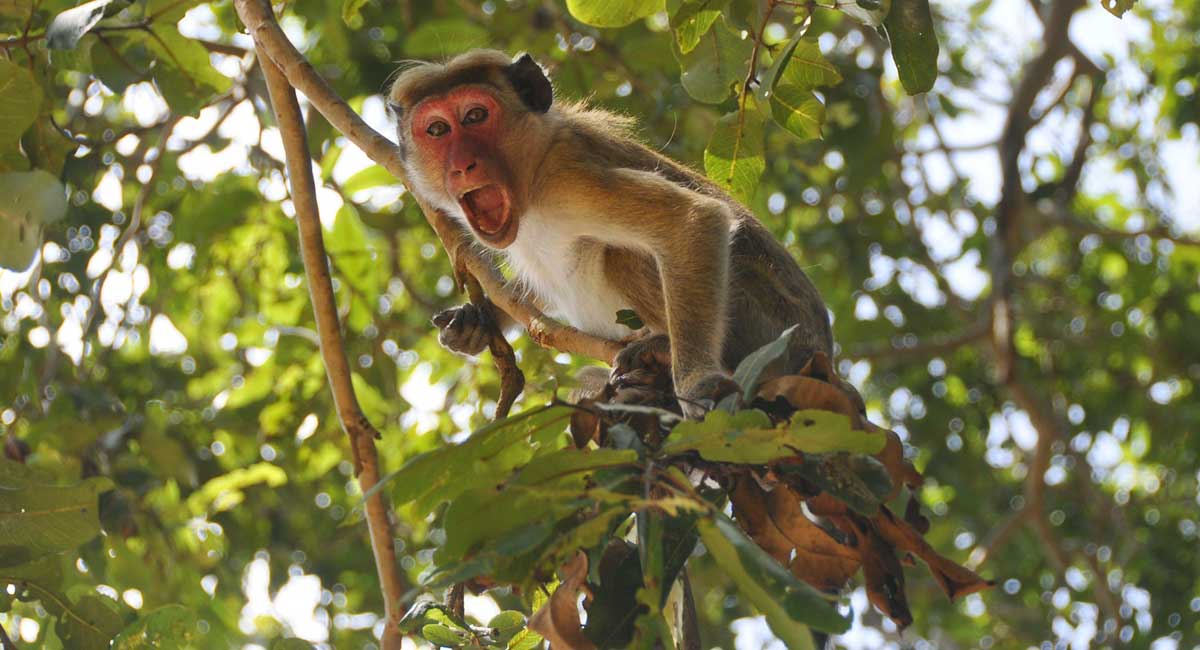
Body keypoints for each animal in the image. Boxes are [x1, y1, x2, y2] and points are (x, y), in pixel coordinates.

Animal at [388, 50, 843, 418]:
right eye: (437, 130)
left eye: (475, 117)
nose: (462, 165)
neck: (530, 181)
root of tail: (821, 353)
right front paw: (476, 320)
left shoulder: (569, 181)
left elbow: (692, 220)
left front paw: (697, 382)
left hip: (773, 335)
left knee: (625, 254)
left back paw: (662, 349)